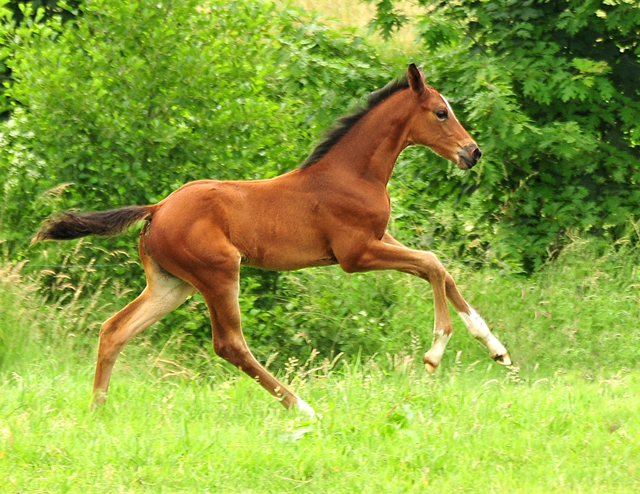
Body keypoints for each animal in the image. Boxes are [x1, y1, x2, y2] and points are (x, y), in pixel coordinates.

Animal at [33, 63, 510, 414]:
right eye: (441, 112)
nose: (473, 153)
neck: (353, 173)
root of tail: (157, 209)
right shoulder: (355, 254)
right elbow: (431, 262)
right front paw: (435, 352)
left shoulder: (381, 238)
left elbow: (442, 269)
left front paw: (496, 348)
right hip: (219, 273)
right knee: (230, 344)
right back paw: (304, 408)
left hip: (172, 284)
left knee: (115, 329)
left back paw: (97, 410)